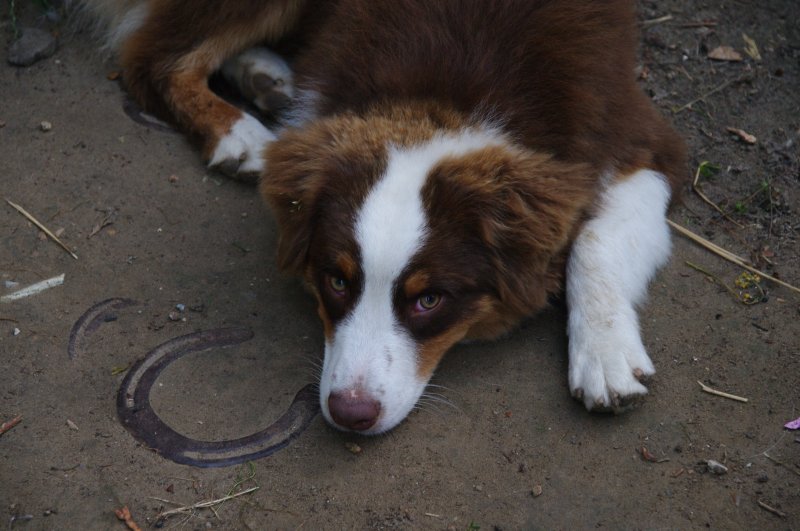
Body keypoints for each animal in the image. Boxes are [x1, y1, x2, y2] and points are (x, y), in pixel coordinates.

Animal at [78, 0, 688, 432]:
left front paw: (604, 355)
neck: (447, 99)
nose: (351, 415)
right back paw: (238, 132)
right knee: (152, 57)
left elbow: (595, 240)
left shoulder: (643, 139)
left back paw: (266, 78)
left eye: (429, 300)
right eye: (335, 280)